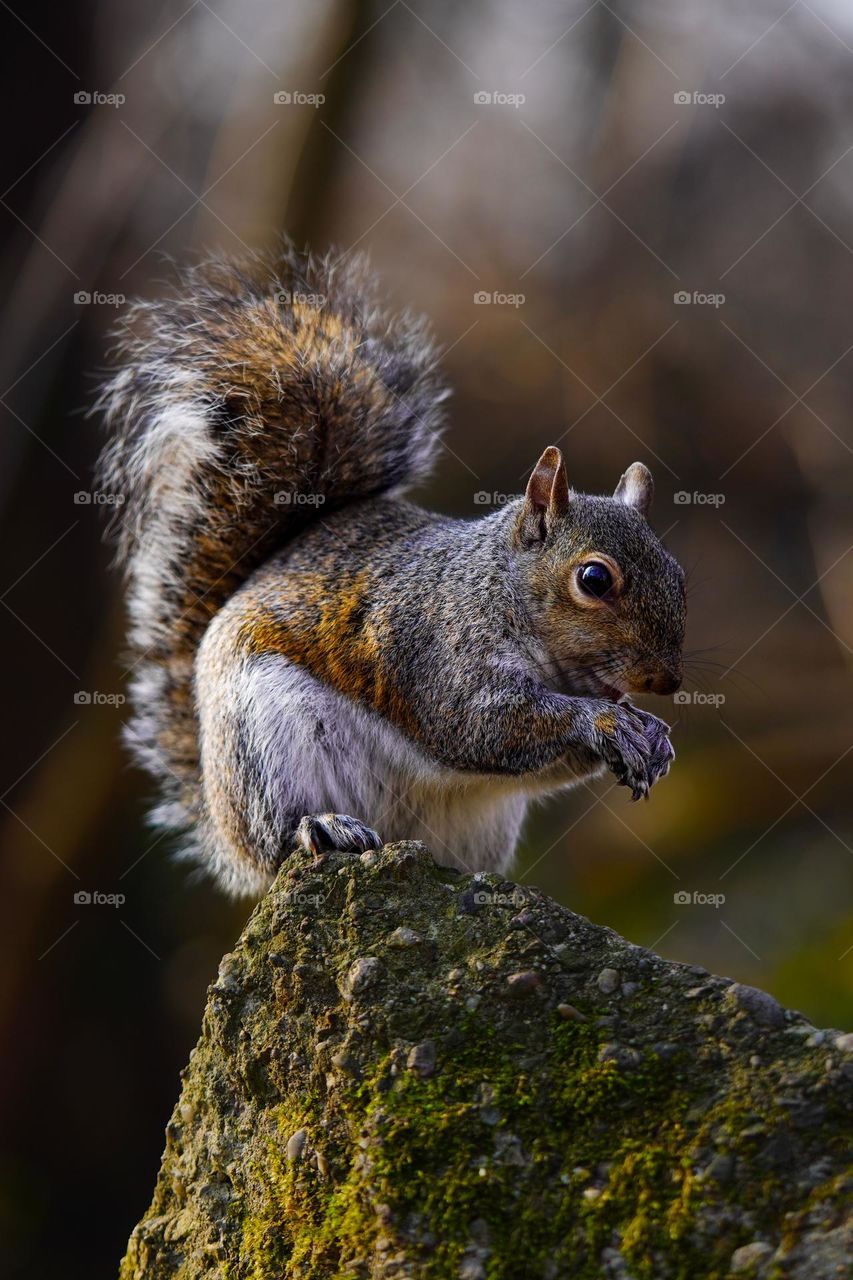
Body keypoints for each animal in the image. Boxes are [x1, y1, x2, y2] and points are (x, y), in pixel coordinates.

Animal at [97, 245, 685, 898]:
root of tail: (223, 829)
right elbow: (480, 724)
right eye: (593, 580)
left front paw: (650, 732)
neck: (497, 591)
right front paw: (604, 721)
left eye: (678, 576)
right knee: (274, 839)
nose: (667, 681)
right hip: (261, 739)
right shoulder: (434, 651)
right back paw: (321, 827)